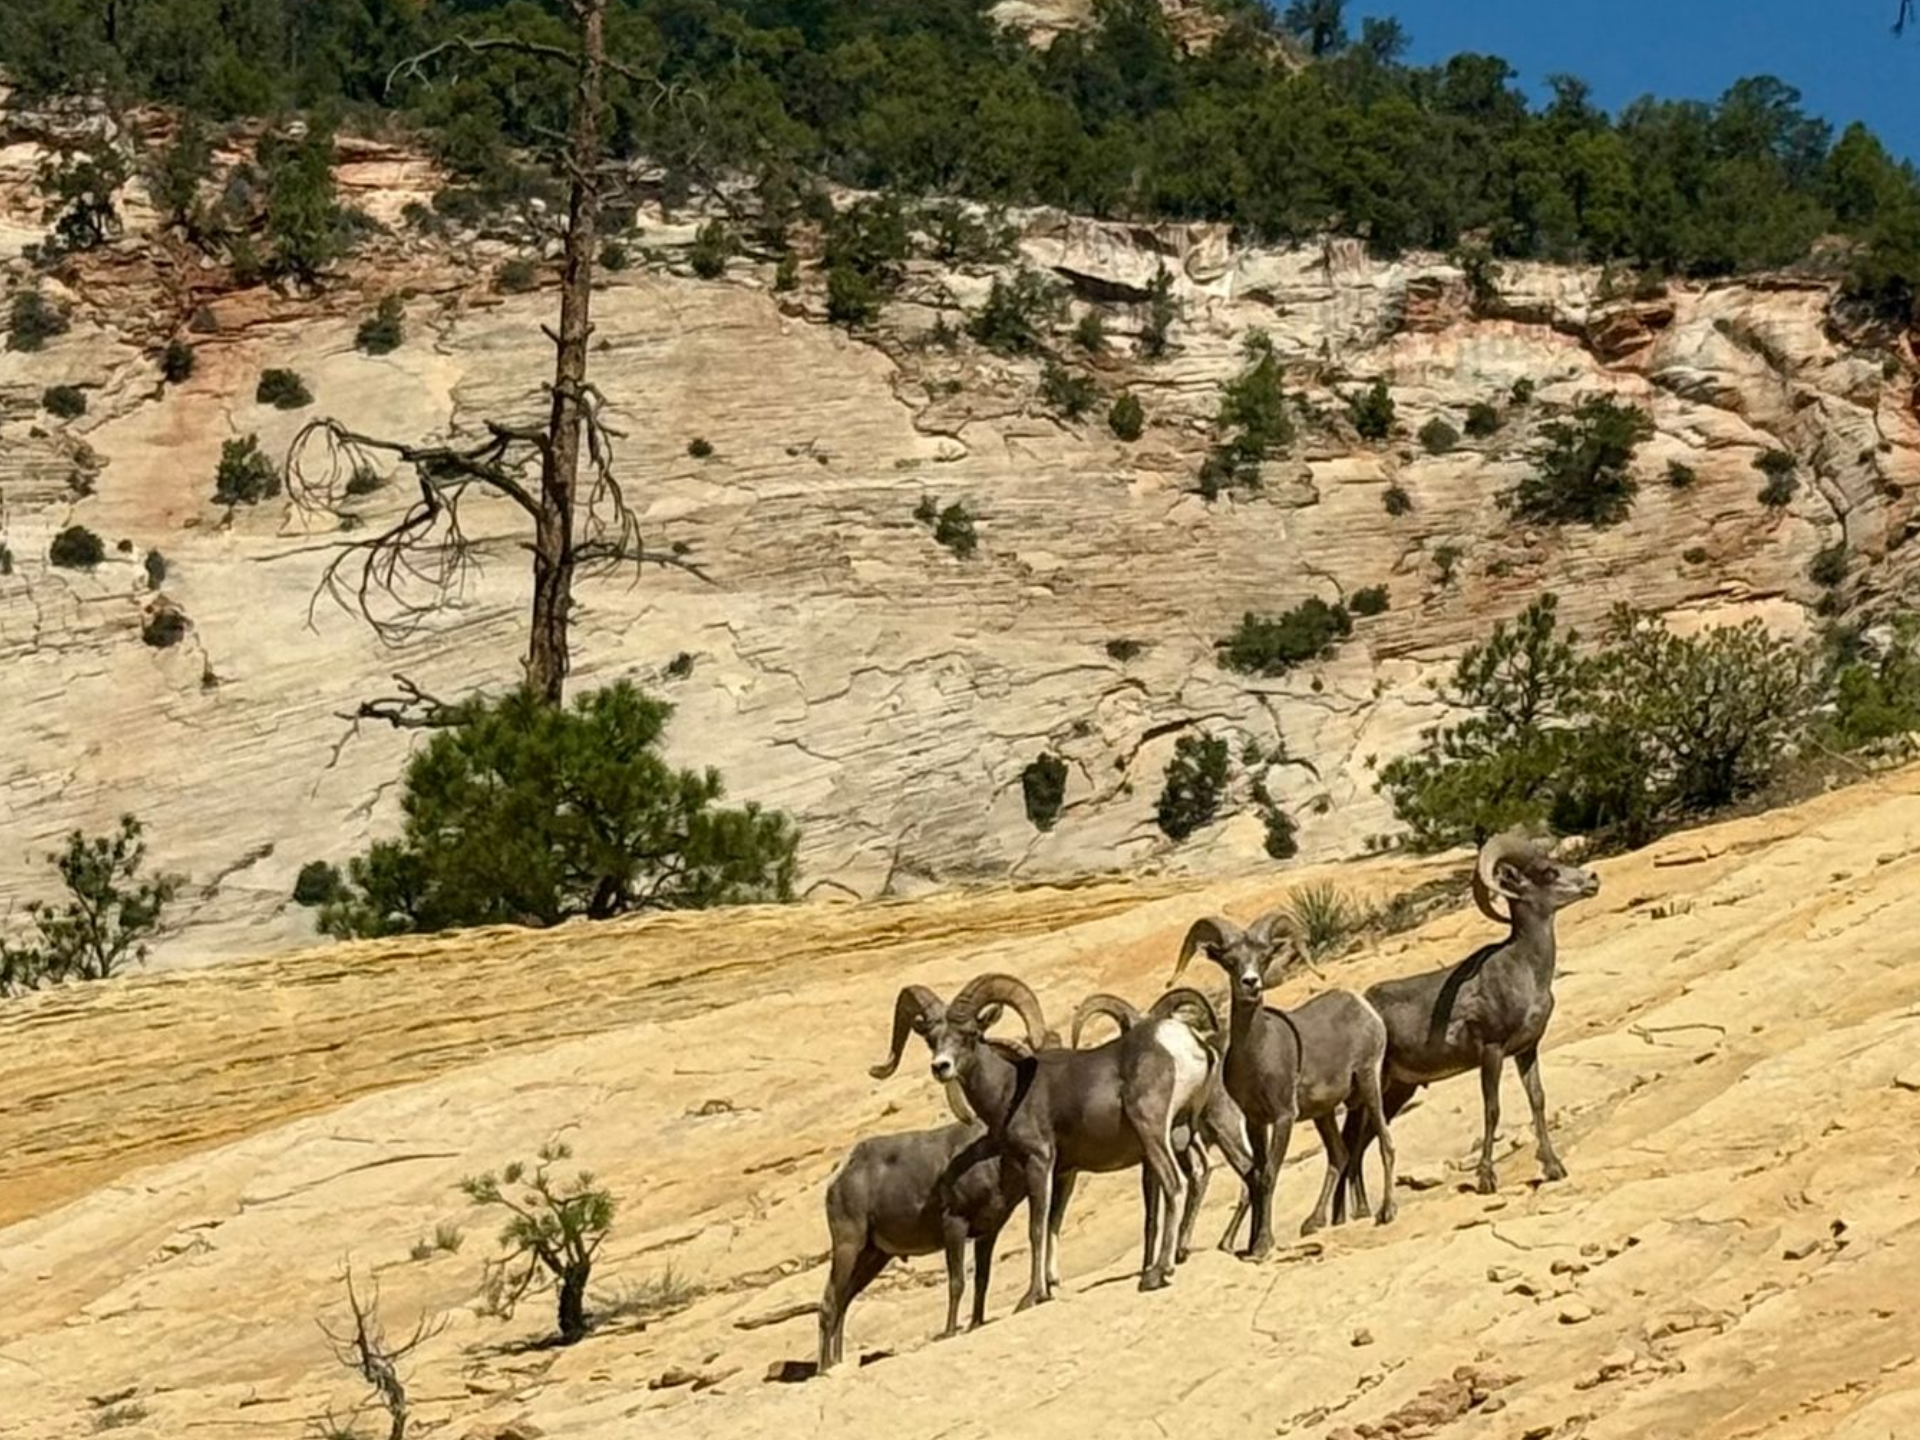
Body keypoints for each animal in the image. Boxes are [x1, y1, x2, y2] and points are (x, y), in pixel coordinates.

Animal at [817, 1103, 1021, 1372]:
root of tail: (837, 1178)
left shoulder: (988, 1233)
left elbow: (982, 1280)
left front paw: (976, 1323)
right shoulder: (955, 1225)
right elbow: (957, 1282)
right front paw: (949, 1332)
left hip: (874, 1256)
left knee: (843, 1300)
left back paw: (836, 1362)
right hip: (848, 1245)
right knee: (830, 1302)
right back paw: (824, 1368)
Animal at [870, 973, 1215, 1304]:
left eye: (970, 1034)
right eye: (931, 1039)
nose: (941, 1067)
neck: (1009, 1090)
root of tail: (1185, 1045)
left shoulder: (1039, 1162)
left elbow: (1036, 1228)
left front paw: (1032, 1295)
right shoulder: (1064, 1171)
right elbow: (1053, 1225)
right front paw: (1051, 1285)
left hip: (1152, 1131)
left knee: (1174, 1185)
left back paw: (1157, 1274)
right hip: (1182, 1133)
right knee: (1199, 1173)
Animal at [1172, 912, 1396, 1256]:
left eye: (1264, 958)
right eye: (1230, 961)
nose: (1251, 983)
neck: (1258, 1055)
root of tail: (1363, 1006)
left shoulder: (1283, 1118)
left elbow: (1269, 1175)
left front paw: (1263, 1245)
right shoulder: (1255, 1121)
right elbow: (1256, 1175)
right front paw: (1251, 1247)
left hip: (1369, 1084)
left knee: (1385, 1142)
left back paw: (1386, 1211)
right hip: (1324, 1113)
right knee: (1340, 1155)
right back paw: (1313, 1222)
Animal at [1336, 829, 1600, 1216]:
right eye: (1548, 872)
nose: (1593, 879)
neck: (1525, 972)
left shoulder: (1526, 1051)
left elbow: (1537, 1100)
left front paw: (1553, 1168)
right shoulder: (1491, 1052)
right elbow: (1492, 1110)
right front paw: (1486, 1181)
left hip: (1397, 1090)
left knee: (1357, 1147)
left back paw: (1360, 1214)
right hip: (1377, 1086)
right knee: (1355, 1145)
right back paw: (1371, 1213)